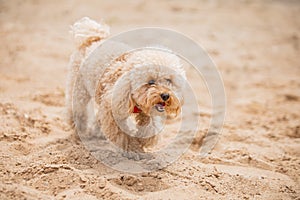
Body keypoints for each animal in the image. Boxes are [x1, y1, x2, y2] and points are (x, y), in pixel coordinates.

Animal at [65, 18, 185, 153]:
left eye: (168, 80)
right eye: (151, 82)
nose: (165, 95)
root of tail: (93, 39)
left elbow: (151, 126)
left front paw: (143, 140)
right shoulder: (113, 106)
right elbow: (122, 134)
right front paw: (133, 149)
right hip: (79, 89)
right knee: (78, 109)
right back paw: (79, 130)